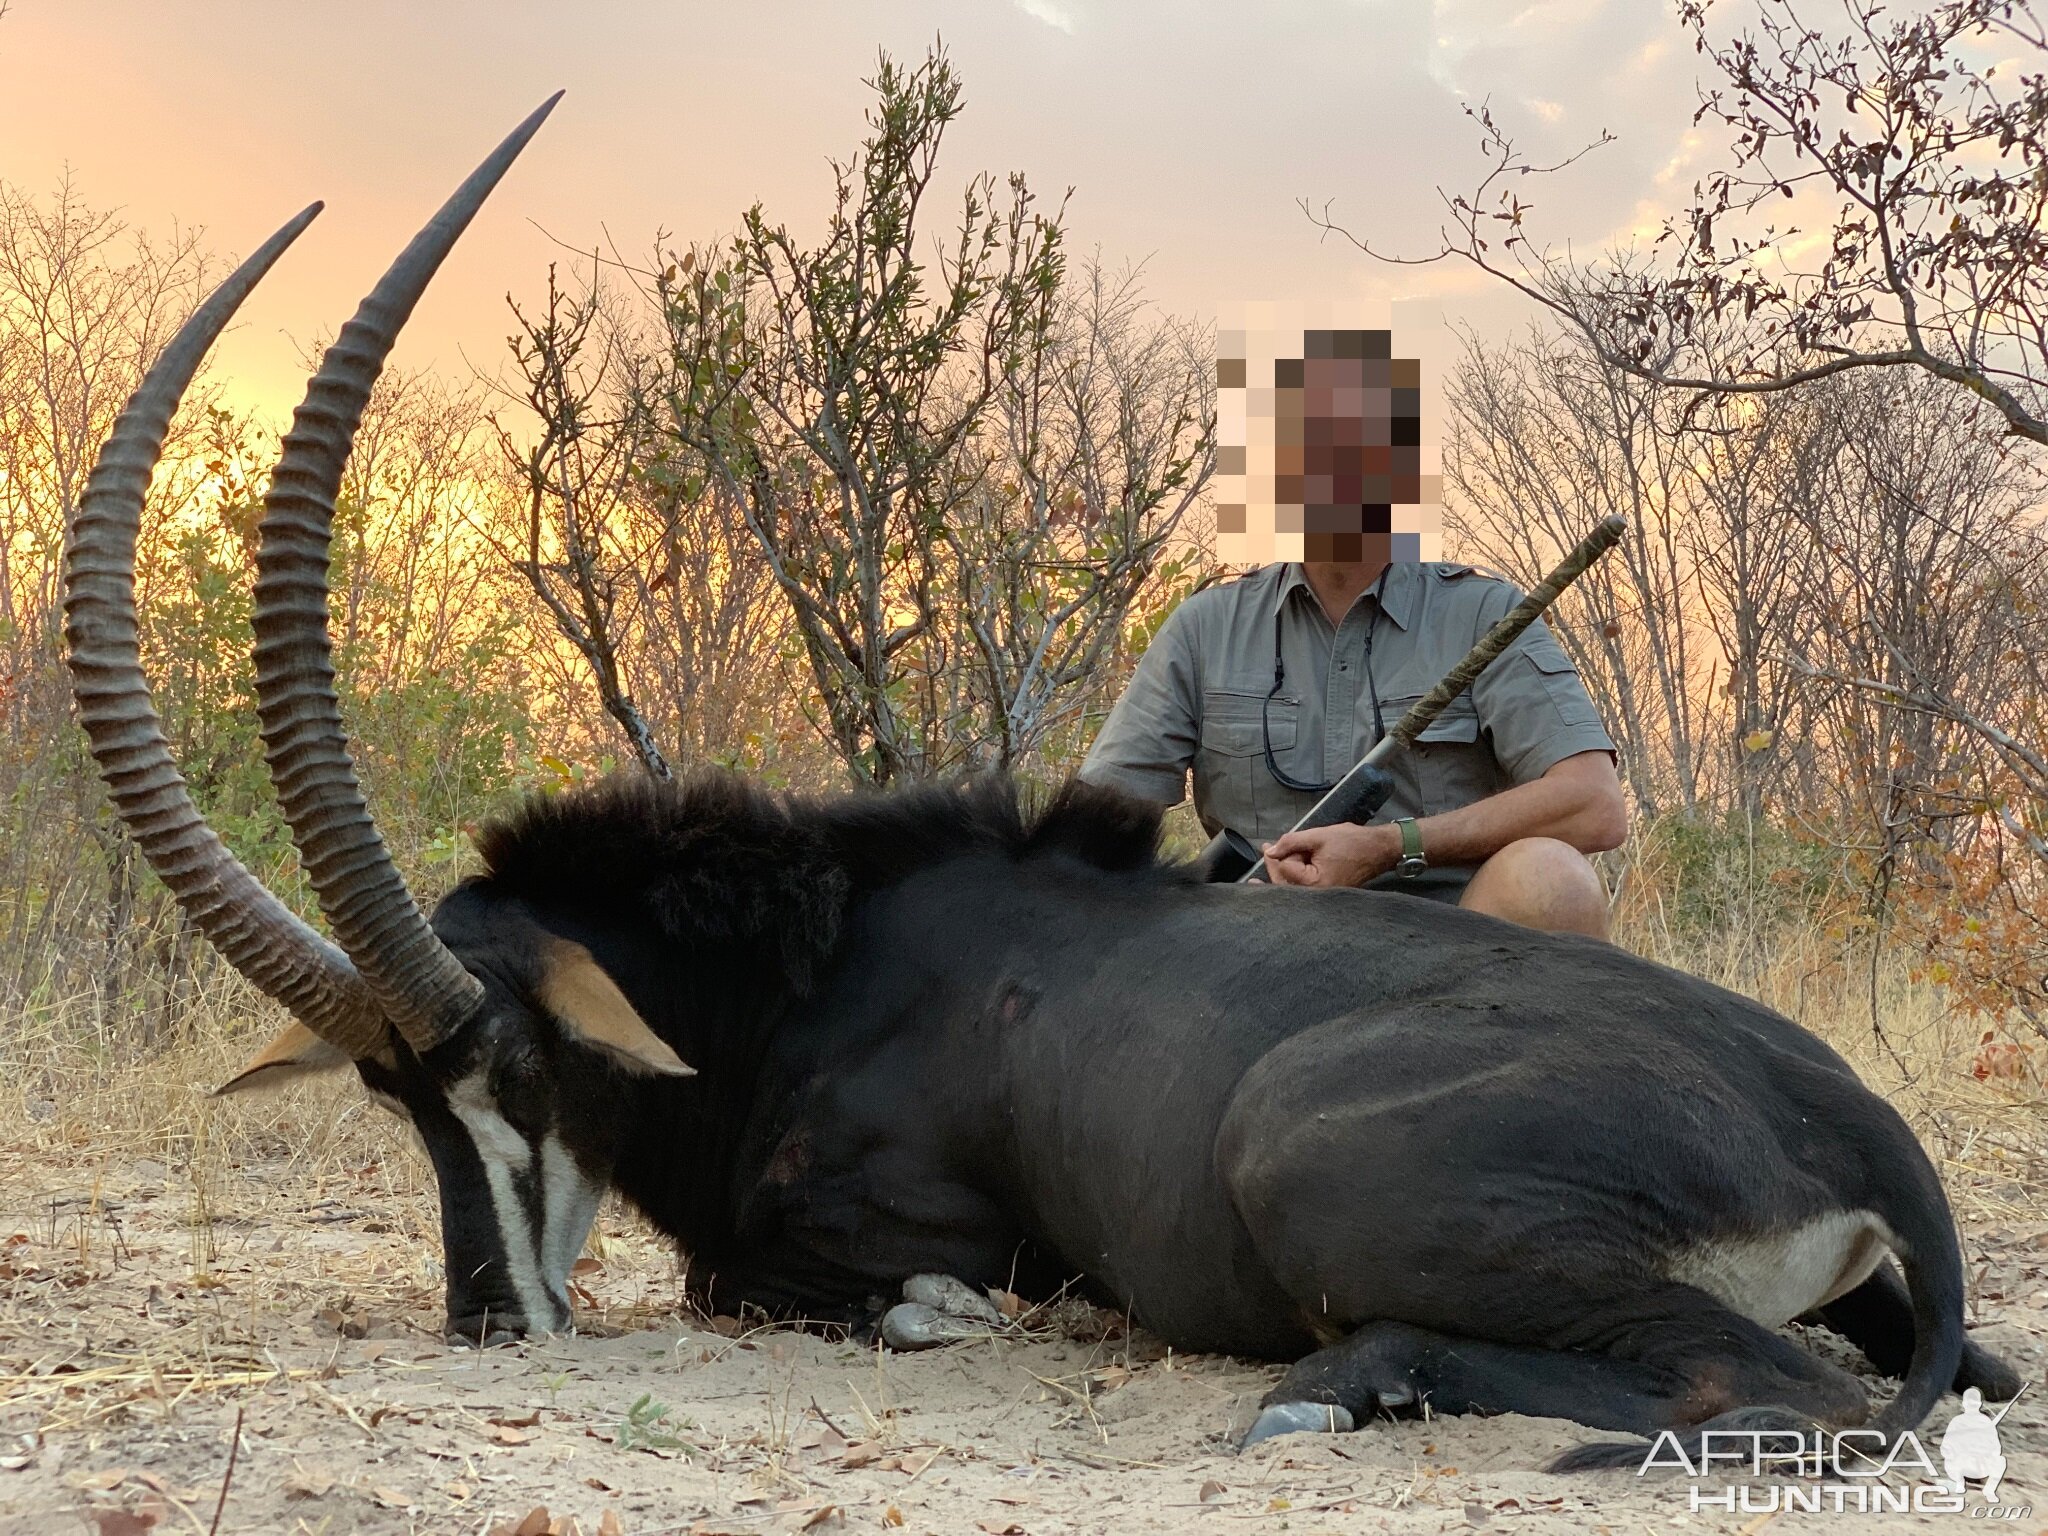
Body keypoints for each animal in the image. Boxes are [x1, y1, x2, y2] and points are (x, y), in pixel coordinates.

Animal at [64, 96, 2015, 1466]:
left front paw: (936, 1320)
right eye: (392, 1099)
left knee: (1777, 1393)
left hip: (1301, 1156)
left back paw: (1331, 1386)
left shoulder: (921, 1220)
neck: (821, 964)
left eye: (526, 1067)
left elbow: (776, 1276)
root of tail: (1853, 1123)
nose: (489, 1321)